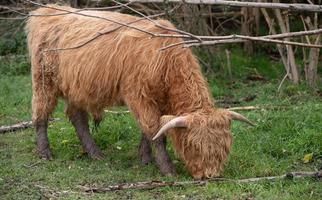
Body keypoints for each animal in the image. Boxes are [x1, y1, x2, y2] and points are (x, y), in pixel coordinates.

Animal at [26, 4, 253, 179]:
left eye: (224, 146)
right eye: (194, 146)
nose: (210, 175)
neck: (166, 60)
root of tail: (49, 10)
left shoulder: (156, 102)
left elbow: (150, 131)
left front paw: (145, 158)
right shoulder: (139, 97)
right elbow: (154, 132)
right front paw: (167, 168)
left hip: (77, 87)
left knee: (77, 117)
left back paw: (95, 153)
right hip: (44, 81)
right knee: (41, 114)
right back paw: (45, 152)